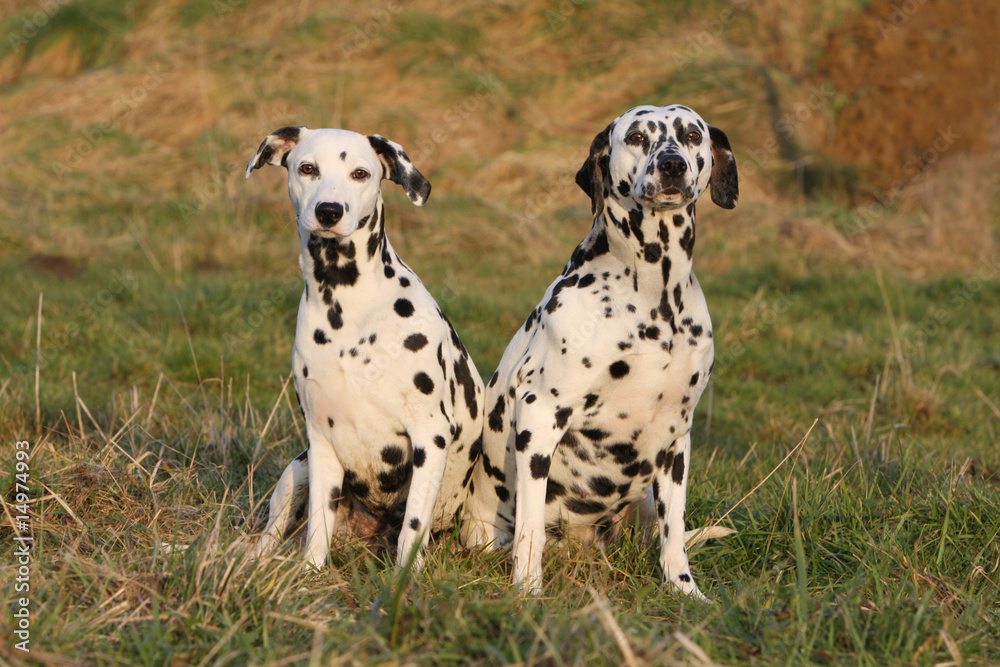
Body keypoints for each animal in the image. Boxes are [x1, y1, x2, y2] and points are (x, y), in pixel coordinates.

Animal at [248, 128, 486, 572]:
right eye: (307, 168)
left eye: (360, 173)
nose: (328, 211)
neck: (346, 303)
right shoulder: (321, 440)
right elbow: (318, 527)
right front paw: (310, 573)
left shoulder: (430, 436)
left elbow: (412, 528)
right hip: (296, 470)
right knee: (266, 539)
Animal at [458, 105, 736, 600]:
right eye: (638, 136)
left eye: (691, 135)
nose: (672, 165)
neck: (654, 295)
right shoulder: (538, 416)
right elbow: (530, 531)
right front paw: (528, 591)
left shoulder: (676, 440)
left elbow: (674, 535)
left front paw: (685, 591)